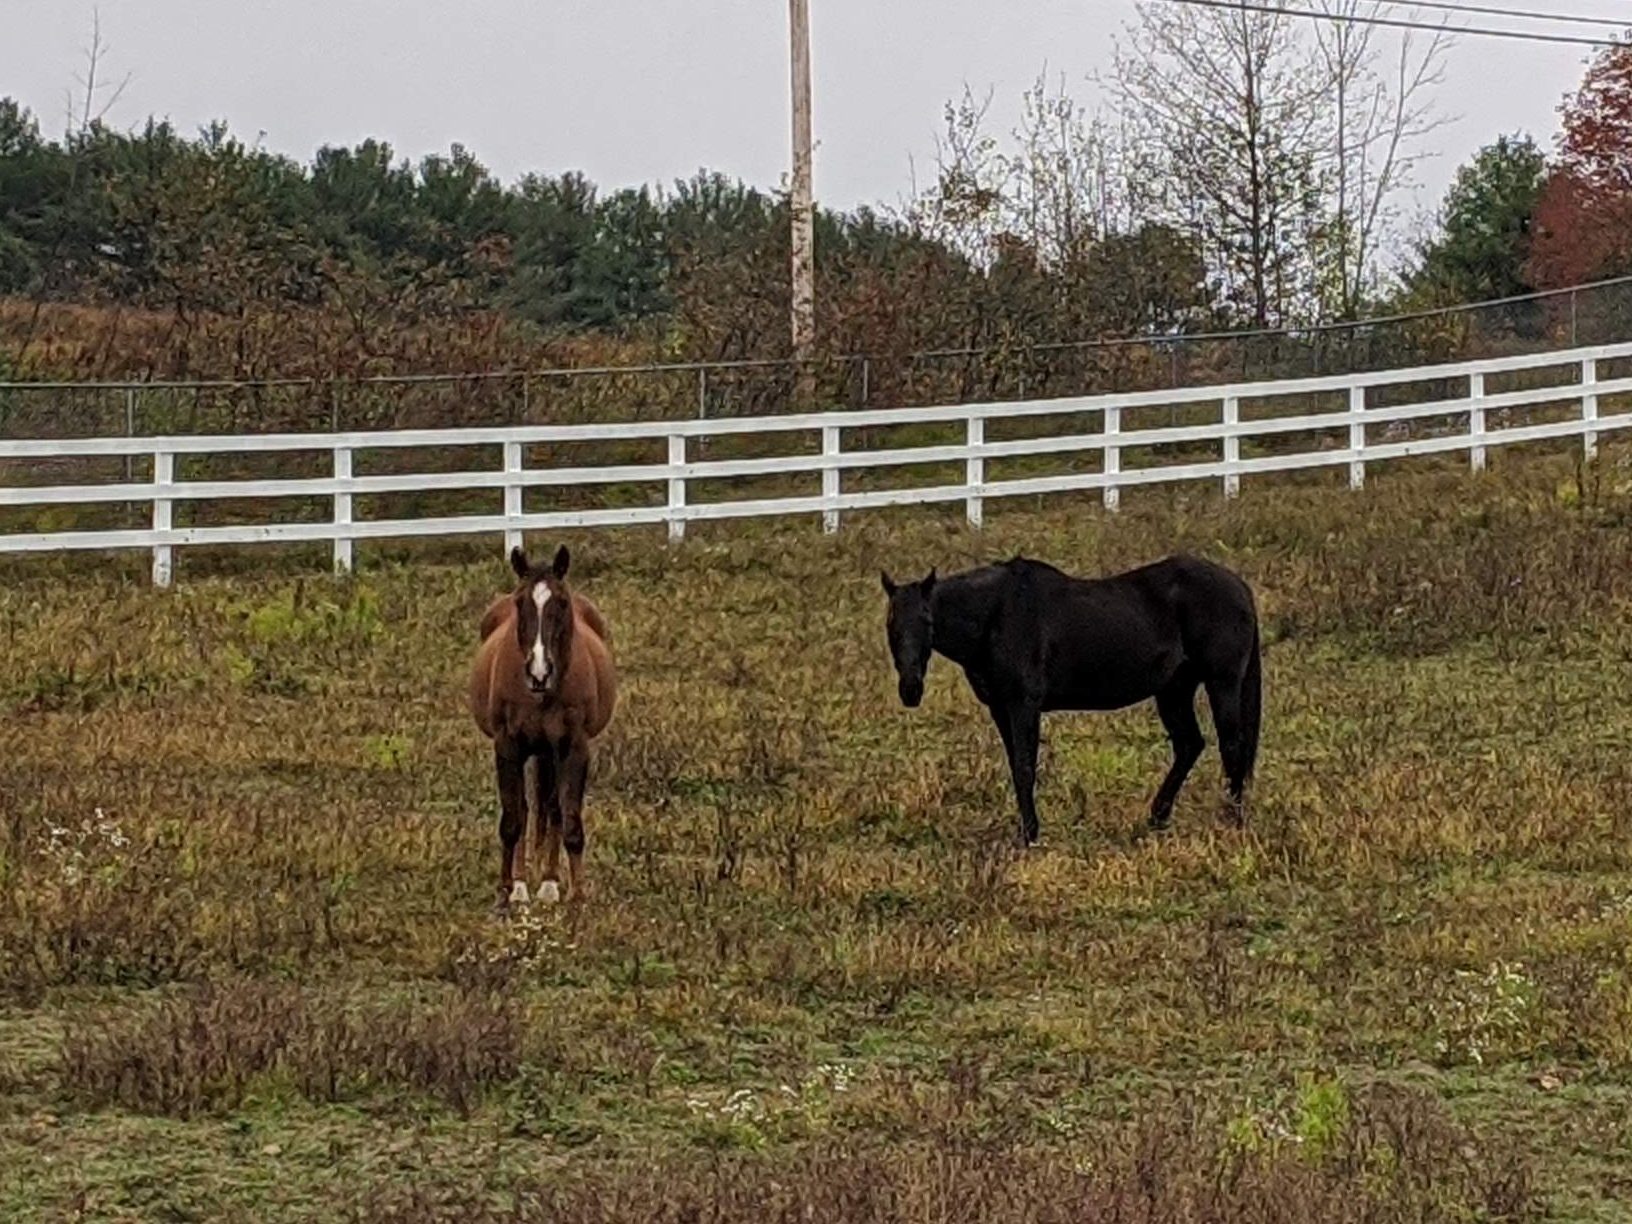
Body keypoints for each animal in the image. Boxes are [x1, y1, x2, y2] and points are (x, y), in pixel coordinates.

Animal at [469, 543, 617, 909]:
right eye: (519, 603)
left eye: (561, 603)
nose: (539, 672)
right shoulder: (508, 745)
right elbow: (513, 819)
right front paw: (508, 890)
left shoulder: (573, 747)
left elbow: (568, 819)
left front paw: (577, 894)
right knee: (526, 810)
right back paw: (525, 884)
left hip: (549, 751)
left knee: (551, 809)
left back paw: (549, 883)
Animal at [880, 553, 1261, 846]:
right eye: (891, 625)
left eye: (927, 620)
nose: (910, 689)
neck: (998, 614)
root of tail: (1239, 587)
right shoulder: (1001, 708)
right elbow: (1016, 767)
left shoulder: (1024, 705)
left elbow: (1025, 767)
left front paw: (1029, 835)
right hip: (1173, 691)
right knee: (1189, 745)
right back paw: (1158, 816)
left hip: (1221, 683)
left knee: (1231, 746)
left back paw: (1231, 818)